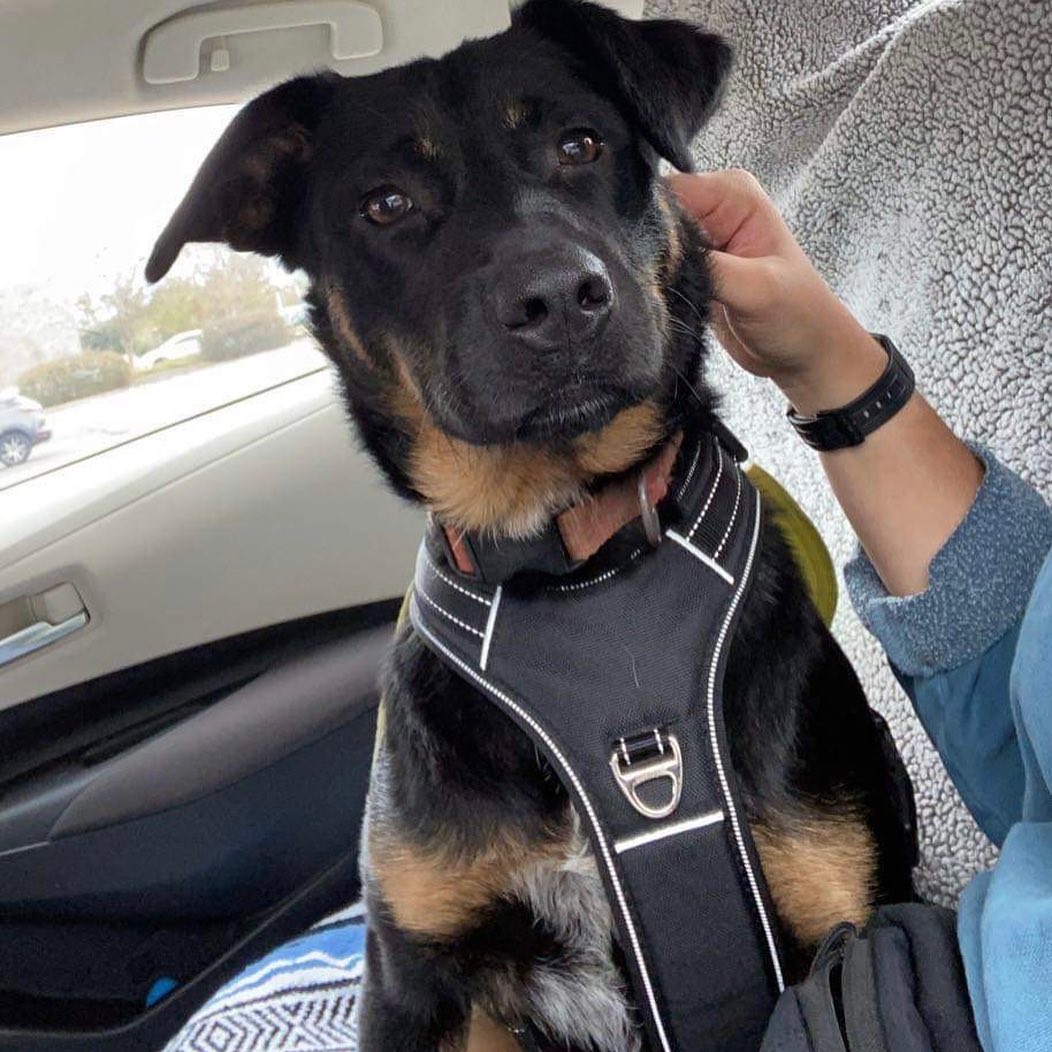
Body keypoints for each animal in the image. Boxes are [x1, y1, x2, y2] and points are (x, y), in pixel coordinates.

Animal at [146, 4, 913, 1047]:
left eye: (580, 145)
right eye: (384, 204)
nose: (555, 300)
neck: (567, 553)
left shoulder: (846, 916)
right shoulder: (413, 978)